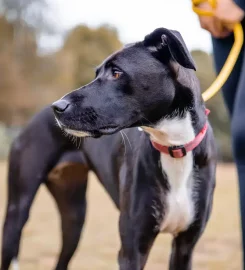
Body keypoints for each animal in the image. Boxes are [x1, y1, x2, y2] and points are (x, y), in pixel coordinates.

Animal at [51, 28, 216, 270]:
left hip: (73, 218)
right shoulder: (132, 250)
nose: (57, 107)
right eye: (97, 74)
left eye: (116, 73)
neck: (174, 147)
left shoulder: (185, 246)